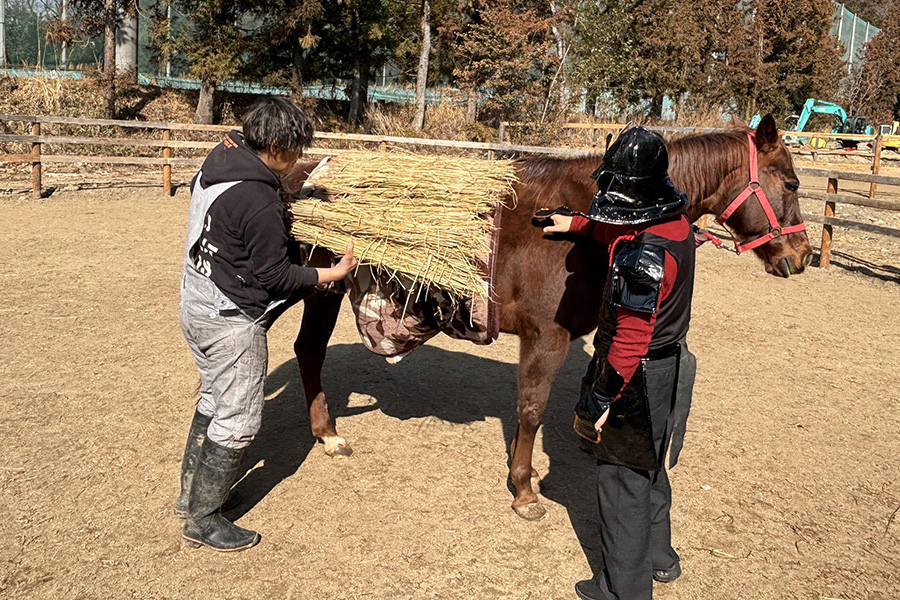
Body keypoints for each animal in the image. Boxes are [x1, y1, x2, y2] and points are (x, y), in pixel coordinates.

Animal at [281, 114, 813, 520]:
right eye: (790, 183)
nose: (803, 255)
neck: (601, 220)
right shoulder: (546, 337)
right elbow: (532, 410)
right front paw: (523, 491)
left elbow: (526, 415)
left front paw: (526, 473)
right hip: (315, 291)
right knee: (305, 351)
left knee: (307, 350)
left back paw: (327, 434)